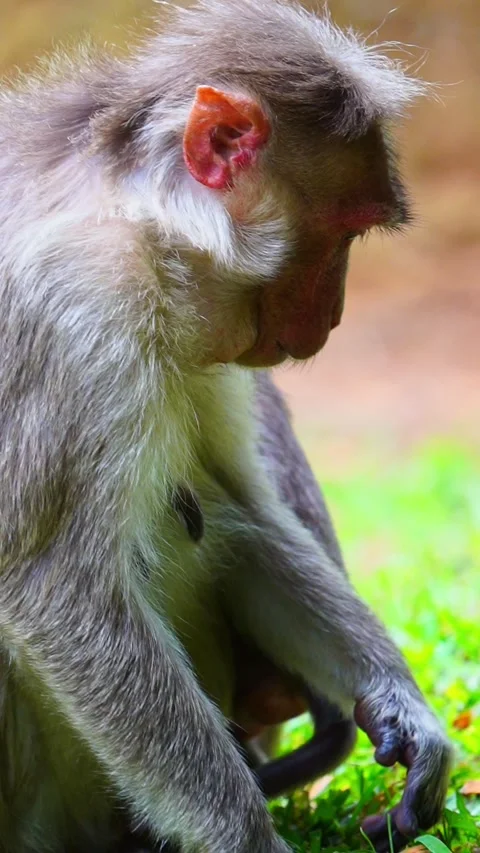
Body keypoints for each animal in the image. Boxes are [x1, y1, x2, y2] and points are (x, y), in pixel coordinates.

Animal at [0, 1, 453, 853]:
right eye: (343, 231)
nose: (334, 316)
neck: (140, 225)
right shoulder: (77, 312)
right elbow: (53, 588)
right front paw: (248, 837)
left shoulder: (198, 344)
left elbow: (243, 511)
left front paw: (403, 705)